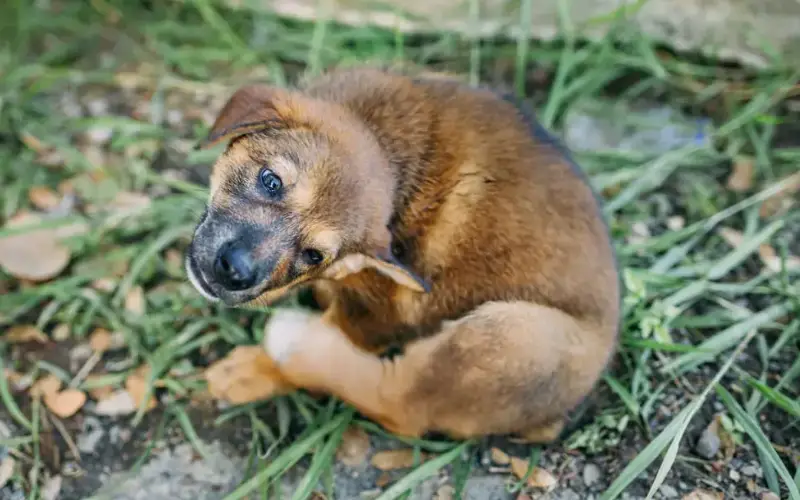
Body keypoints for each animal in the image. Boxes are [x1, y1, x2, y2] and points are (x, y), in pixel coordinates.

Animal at [186, 66, 620, 442]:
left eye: (313, 255)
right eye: (270, 181)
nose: (235, 272)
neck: (384, 137)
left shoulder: (376, 312)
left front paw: (255, 370)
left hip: (511, 335)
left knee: (399, 404)